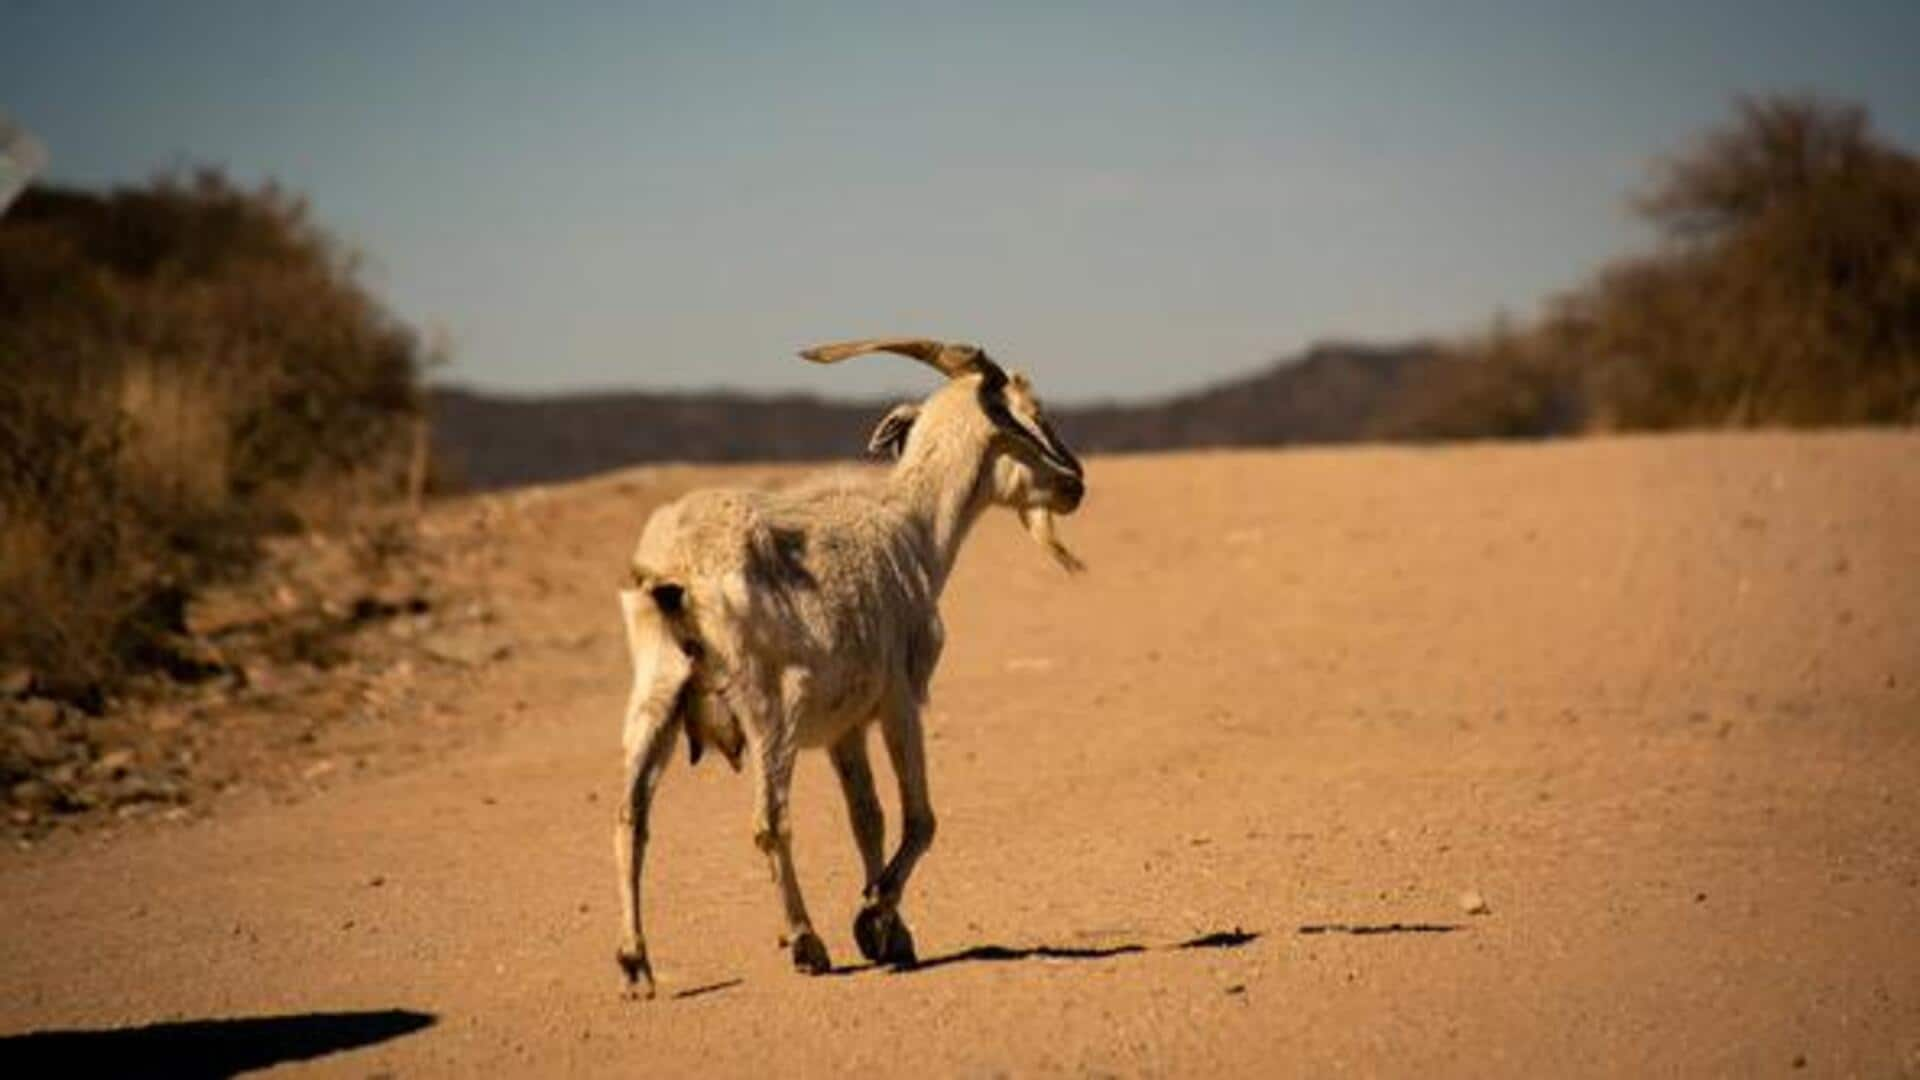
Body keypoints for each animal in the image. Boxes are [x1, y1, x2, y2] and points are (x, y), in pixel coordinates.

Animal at [618, 336, 1090, 991]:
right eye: (1031, 412)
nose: (1076, 483)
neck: (912, 528)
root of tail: (675, 570)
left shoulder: (846, 727)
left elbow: (867, 817)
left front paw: (894, 933)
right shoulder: (900, 697)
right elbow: (919, 818)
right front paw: (872, 918)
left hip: (654, 696)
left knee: (630, 819)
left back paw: (635, 964)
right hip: (768, 708)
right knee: (769, 821)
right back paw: (805, 942)